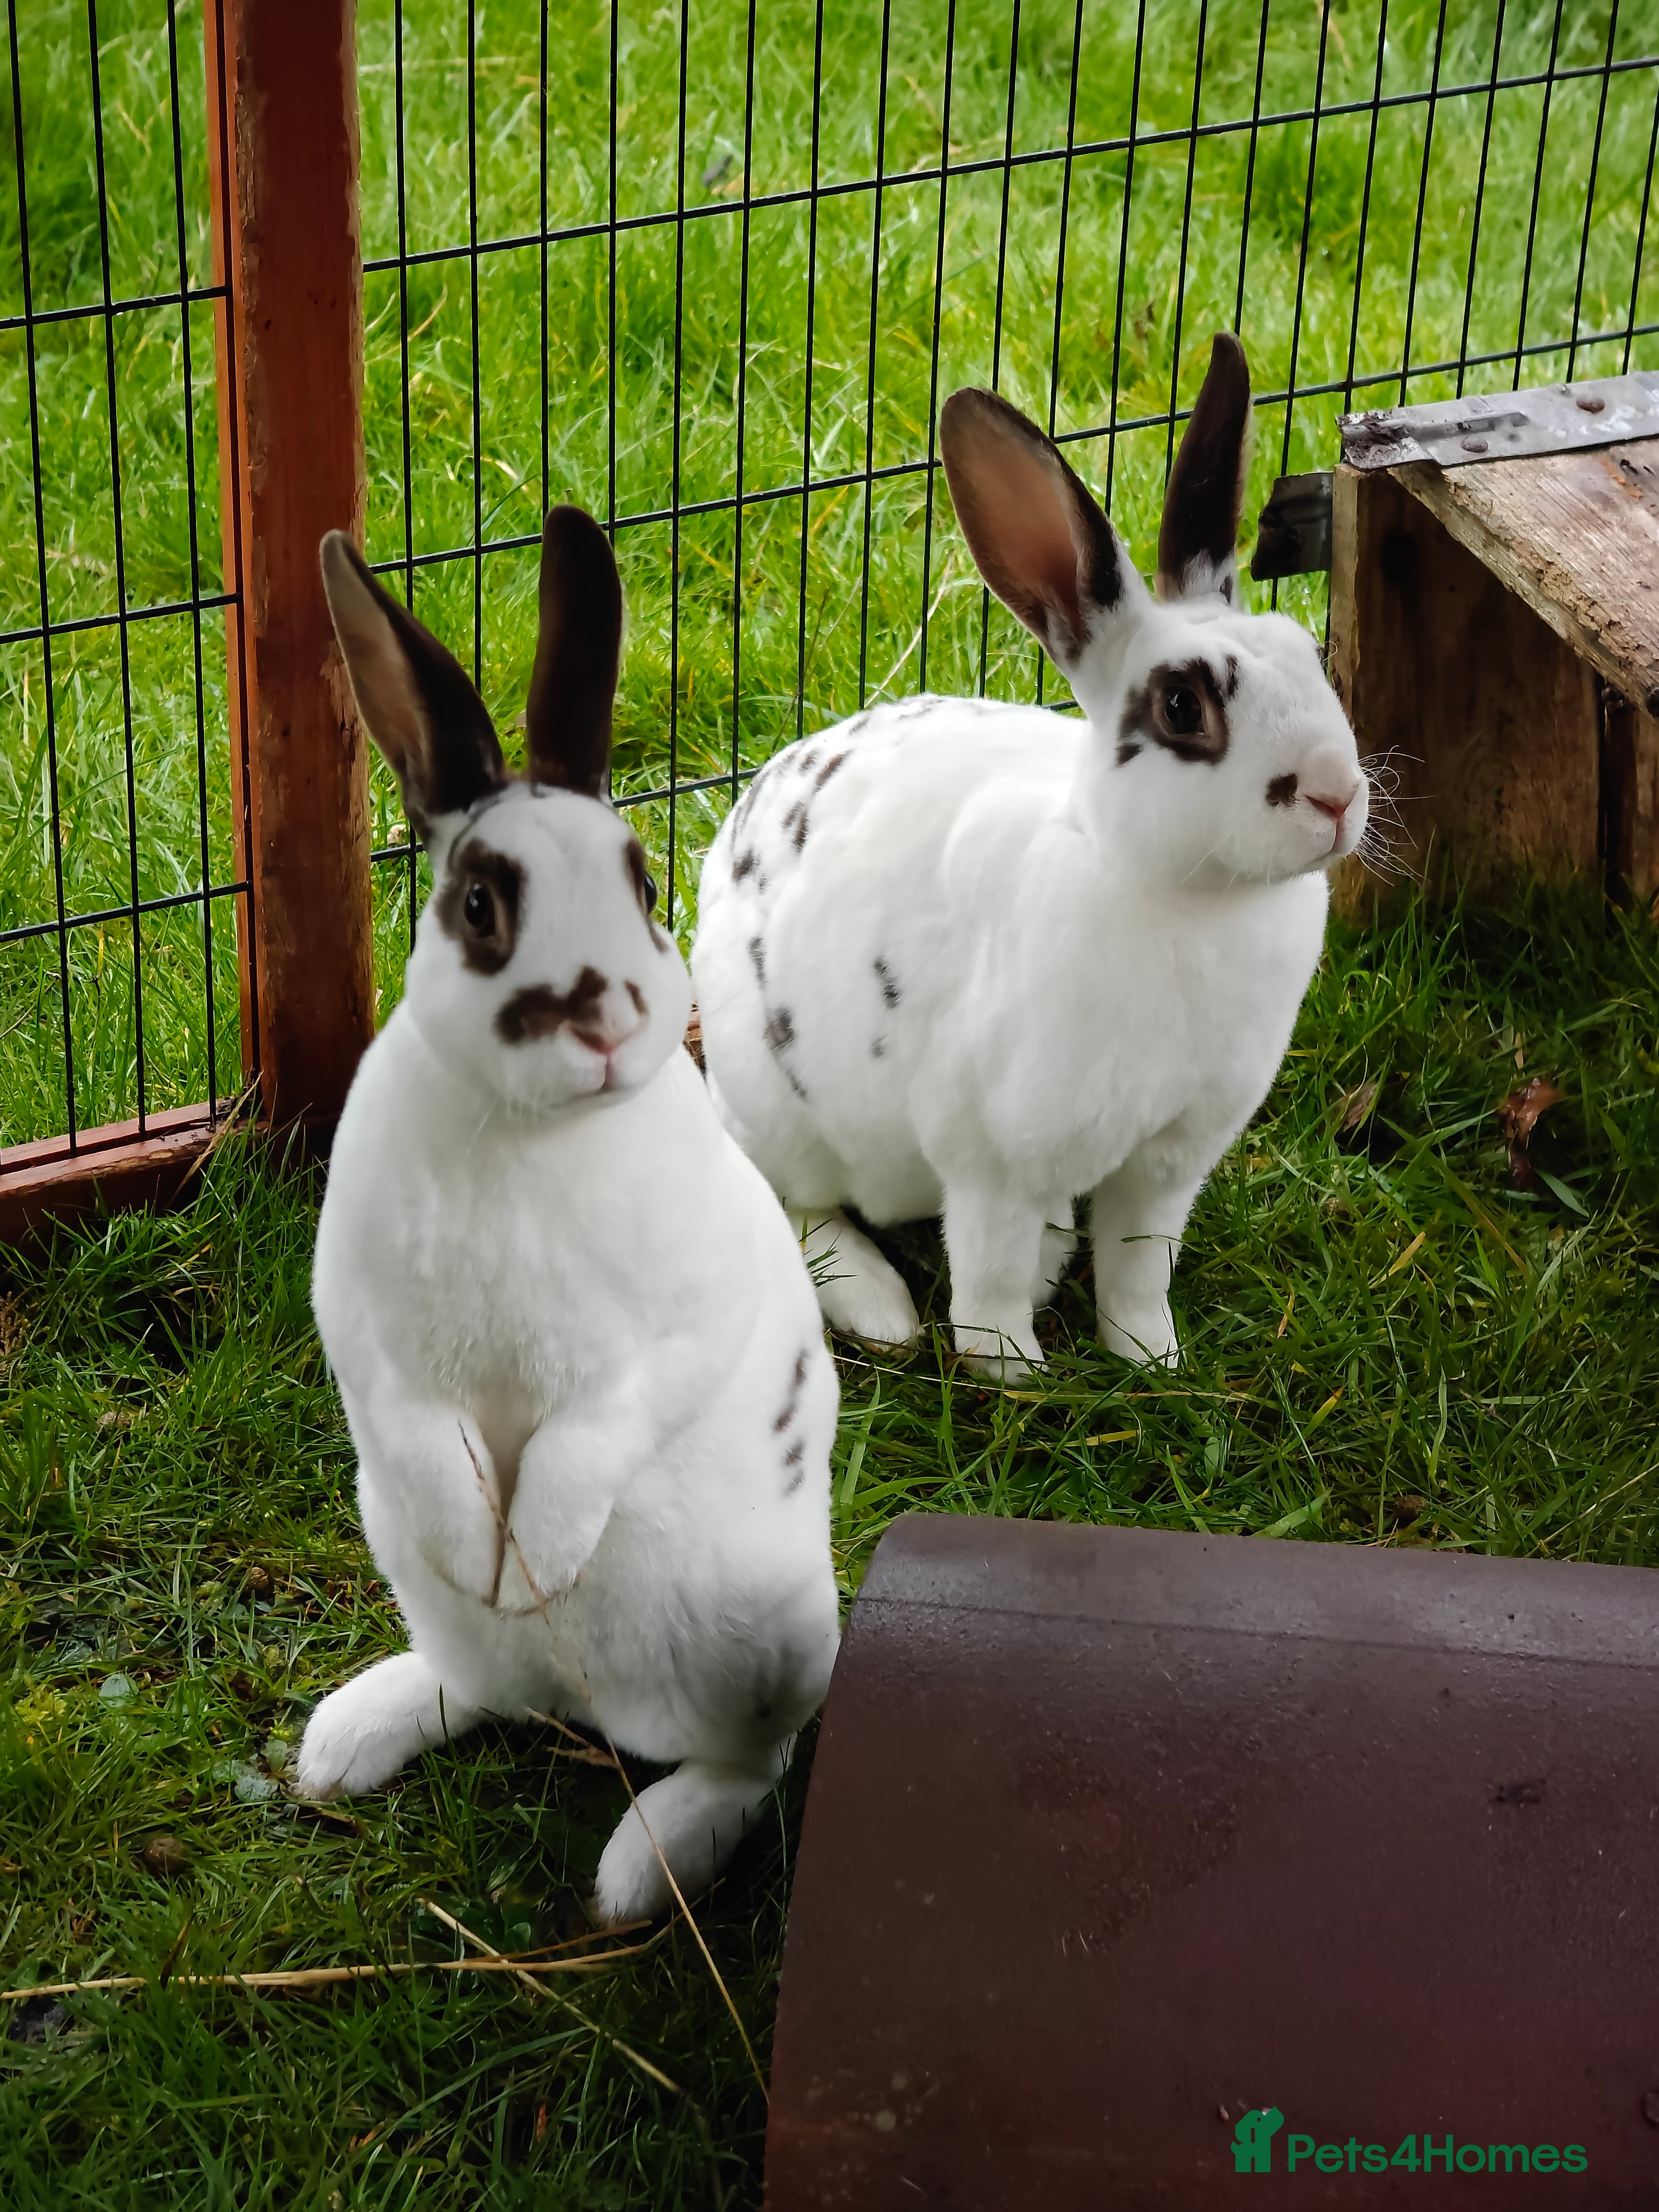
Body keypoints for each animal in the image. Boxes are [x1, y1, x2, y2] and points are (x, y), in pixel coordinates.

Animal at [294, 506, 841, 1925]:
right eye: (482, 905)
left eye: (644, 888)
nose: (605, 1019)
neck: (532, 1134)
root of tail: (583, 1709)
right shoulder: (373, 1345)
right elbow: (433, 1448)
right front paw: (487, 1555)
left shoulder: (659, 1350)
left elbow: (582, 1451)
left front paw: (533, 1557)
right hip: (412, 1576)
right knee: (476, 1686)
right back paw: (347, 1739)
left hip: (770, 1636)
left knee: (753, 1761)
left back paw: (642, 1866)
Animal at [691, 332, 1367, 1385]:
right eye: (1182, 707)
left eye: (1307, 653)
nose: (1336, 795)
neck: (1183, 897)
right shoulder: (993, 1160)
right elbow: (993, 1270)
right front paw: (1012, 1373)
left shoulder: (1168, 1162)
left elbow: (1137, 1265)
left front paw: (1150, 1359)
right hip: (777, 1107)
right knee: (793, 1202)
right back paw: (881, 1308)